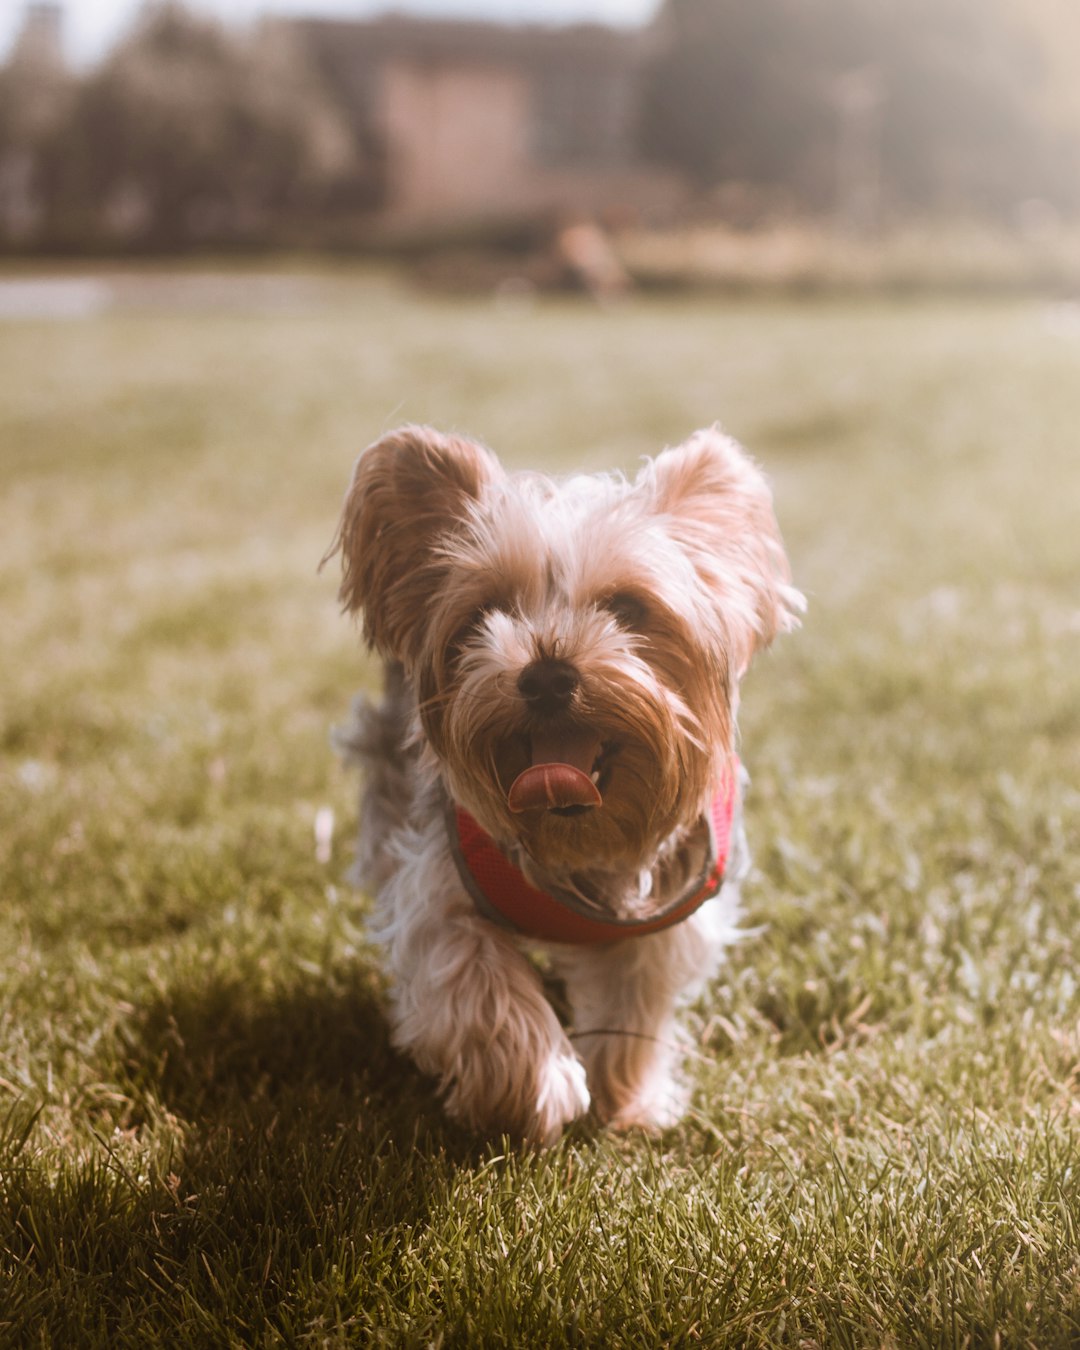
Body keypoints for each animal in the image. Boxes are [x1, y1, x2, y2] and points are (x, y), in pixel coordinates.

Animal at [325, 426, 799, 1144]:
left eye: (628, 608)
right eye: (486, 611)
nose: (547, 674)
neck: (580, 836)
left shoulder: (668, 907)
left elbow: (636, 1000)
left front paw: (626, 1101)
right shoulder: (438, 880)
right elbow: (474, 980)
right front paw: (536, 1088)